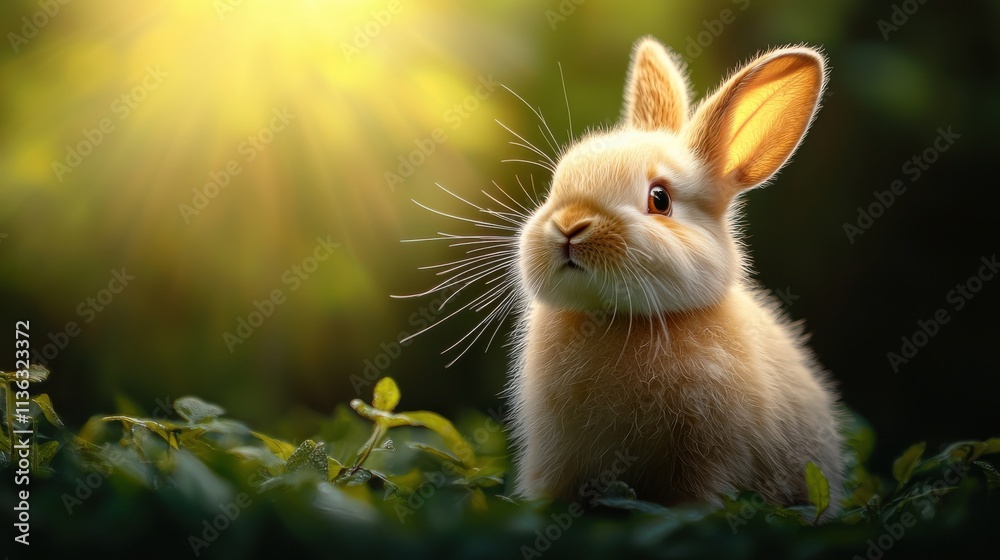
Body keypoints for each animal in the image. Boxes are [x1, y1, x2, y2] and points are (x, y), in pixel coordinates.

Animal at [505, 37, 846, 513]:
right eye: (556, 184)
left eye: (660, 199)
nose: (570, 226)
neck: (616, 321)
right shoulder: (556, 458)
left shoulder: (707, 456)